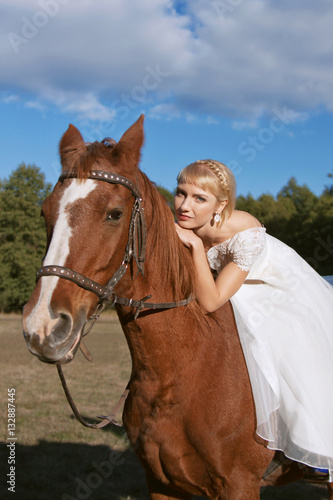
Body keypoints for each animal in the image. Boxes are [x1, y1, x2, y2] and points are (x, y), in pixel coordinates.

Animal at [22, 116, 330, 500]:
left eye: (114, 214)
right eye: (44, 211)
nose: (43, 327)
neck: (179, 370)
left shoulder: (240, 484)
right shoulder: (161, 483)